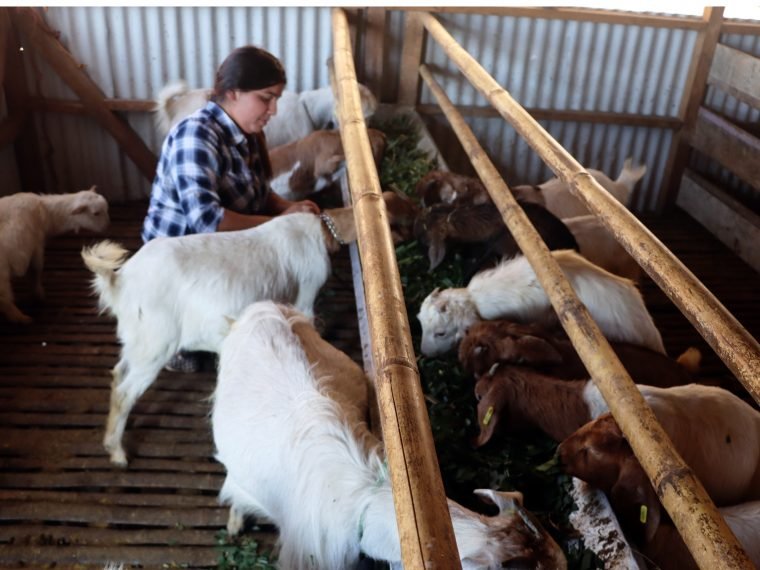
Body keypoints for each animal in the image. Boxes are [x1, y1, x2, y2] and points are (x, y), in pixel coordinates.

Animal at [0, 187, 109, 323]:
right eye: (96, 213)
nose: (107, 227)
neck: (46, 211)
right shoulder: (37, 244)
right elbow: (35, 270)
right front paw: (38, 294)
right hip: (2, 272)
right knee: (4, 299)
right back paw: (21, 318)